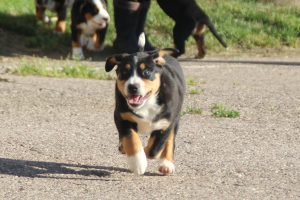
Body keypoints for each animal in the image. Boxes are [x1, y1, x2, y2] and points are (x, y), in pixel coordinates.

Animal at [105, 35, 185, 176]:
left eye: (146, 72)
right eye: (124, 72)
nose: (133, 87)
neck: (147, 103)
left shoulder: (166, 122)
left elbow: (155, 149)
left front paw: (145, 152)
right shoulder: (122, 117)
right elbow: (131, 139)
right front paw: (138, 162)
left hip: (175, 119)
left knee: (170, 140)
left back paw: (166, 164)